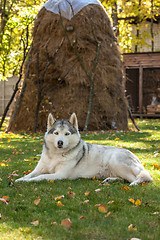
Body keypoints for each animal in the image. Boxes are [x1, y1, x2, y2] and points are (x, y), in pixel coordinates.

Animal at [15, 113, 153, 186]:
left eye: (67, 134)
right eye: (56, 133)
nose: (60, 142)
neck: (56, 156)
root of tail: (135, 157)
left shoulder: (60, 174)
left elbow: (40, 177)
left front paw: (29, 181)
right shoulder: (38, 169)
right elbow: (30, 174)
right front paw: (20, 179)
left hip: (115, 161)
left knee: (138, 178)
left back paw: (134, 183)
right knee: (124, 178)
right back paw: (110, 180)